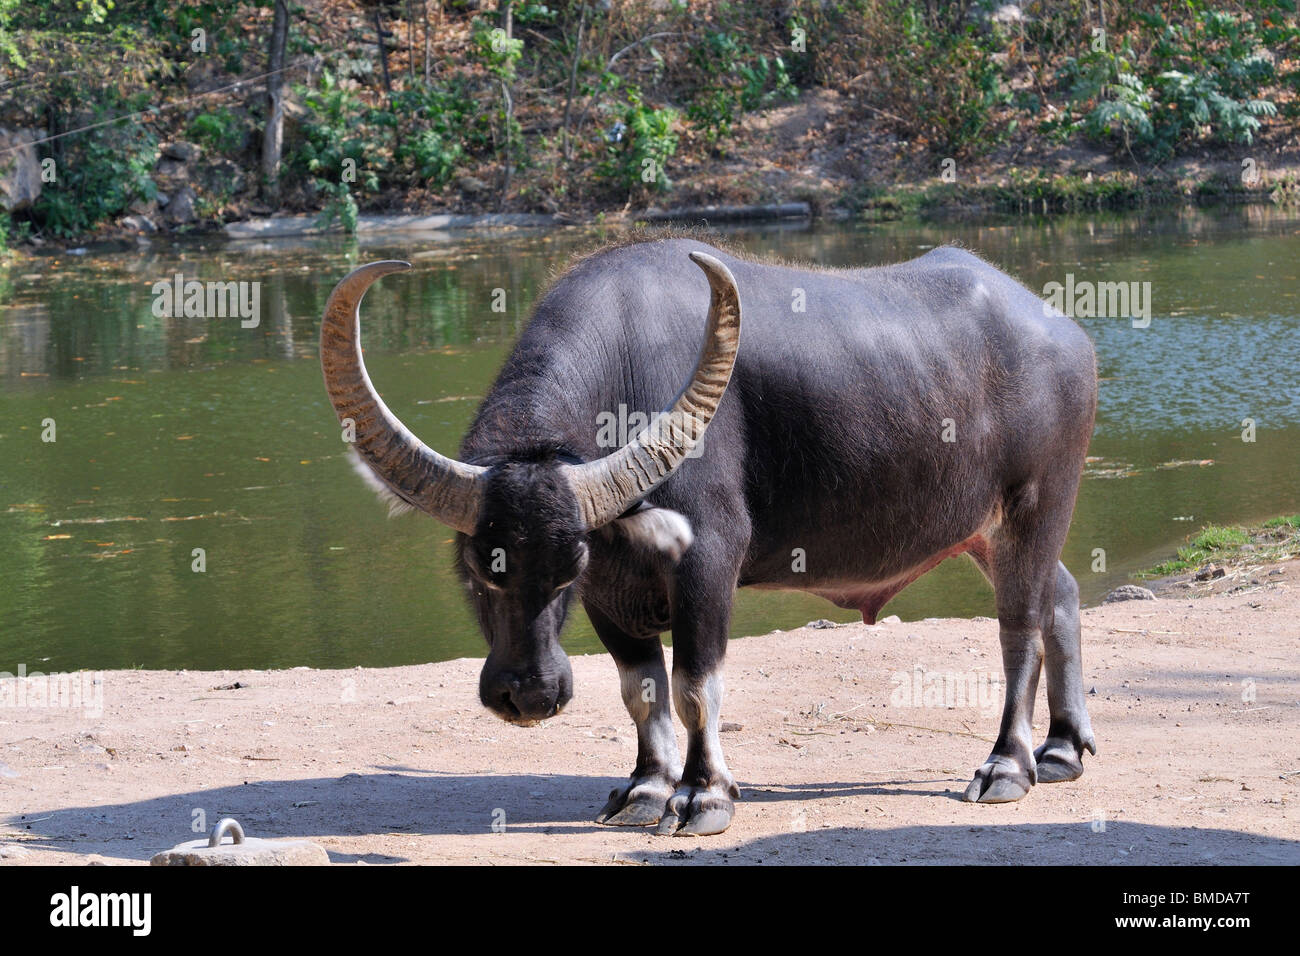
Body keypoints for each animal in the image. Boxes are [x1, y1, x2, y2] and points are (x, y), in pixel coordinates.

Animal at [319, 239, 1092, 837]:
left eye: (565, 567)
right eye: (481, 567)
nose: (530, 695)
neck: (624, 370)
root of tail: (1065, 334)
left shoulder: (708, 562)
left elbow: (694, 686)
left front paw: (701, 795)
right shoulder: (612, 593)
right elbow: (641, 688)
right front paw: (645, 788)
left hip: (1036, 505)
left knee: (1019, 626)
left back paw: (1009, 764)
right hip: (984, 533)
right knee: (1061, 592)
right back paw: (1063, 748)